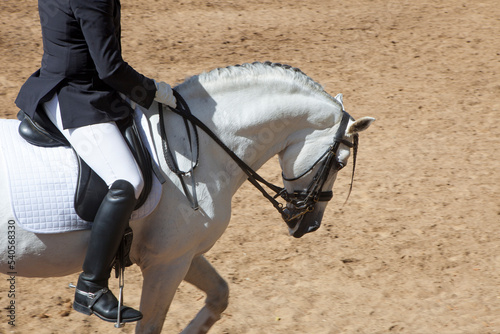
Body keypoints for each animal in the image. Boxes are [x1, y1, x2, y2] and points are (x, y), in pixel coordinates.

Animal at [0, 62, 376, 332]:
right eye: (340, 163)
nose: (308, 226)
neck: (199, 144)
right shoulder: (166, 263)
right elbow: (151, 326)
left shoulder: (184, 254)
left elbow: (220, 295)